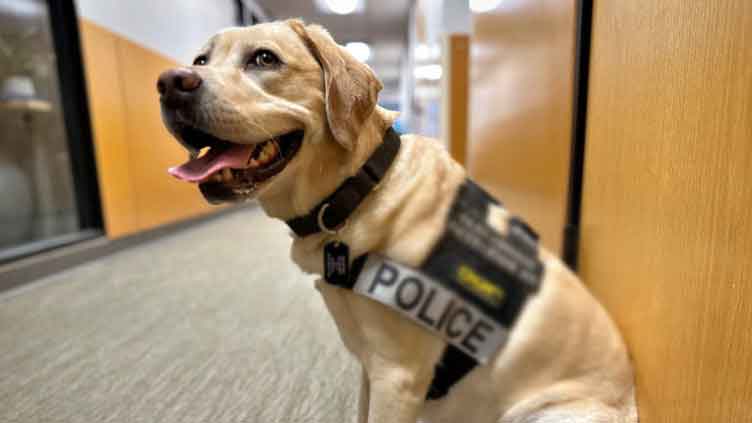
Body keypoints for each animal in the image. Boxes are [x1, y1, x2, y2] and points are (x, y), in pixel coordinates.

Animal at [157, 19, 636, 423]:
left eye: (263, 58)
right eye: (201, 60)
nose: (170, 83)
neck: (360, 190)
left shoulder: (397, 377)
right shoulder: (371, 370)